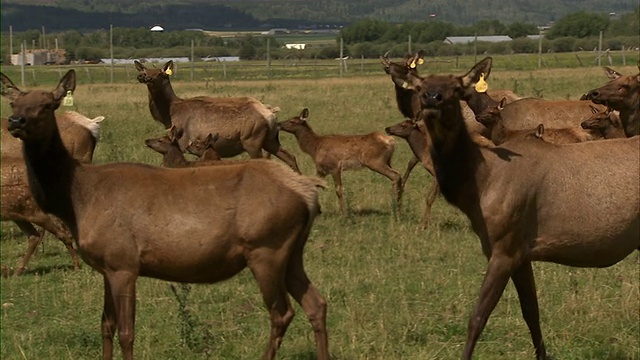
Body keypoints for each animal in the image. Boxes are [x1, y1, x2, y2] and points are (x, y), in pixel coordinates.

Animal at [135, 60, 300, 173]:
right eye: (146, 71)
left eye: (160, 73)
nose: (143, 77)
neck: (169, 114)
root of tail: (271, 113)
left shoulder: (182, 140)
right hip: (270, 139)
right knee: (290, 156)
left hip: (252, 139)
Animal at [402, 57, 636, 358]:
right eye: (420, 88)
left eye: (457, 88)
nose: (433, 99)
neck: (480, 184)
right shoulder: (522, 254)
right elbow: (532, 315)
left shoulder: (504, 250)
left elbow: (477, 318)